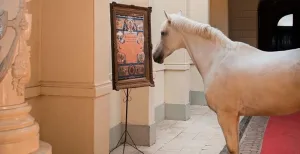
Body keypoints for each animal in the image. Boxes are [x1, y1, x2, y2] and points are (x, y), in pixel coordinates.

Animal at [154, 11, 300, 154]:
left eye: (163, 33)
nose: (155, 56)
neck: (217, 59)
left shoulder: (226, 116)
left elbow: (232, 148)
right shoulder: (235, 116)